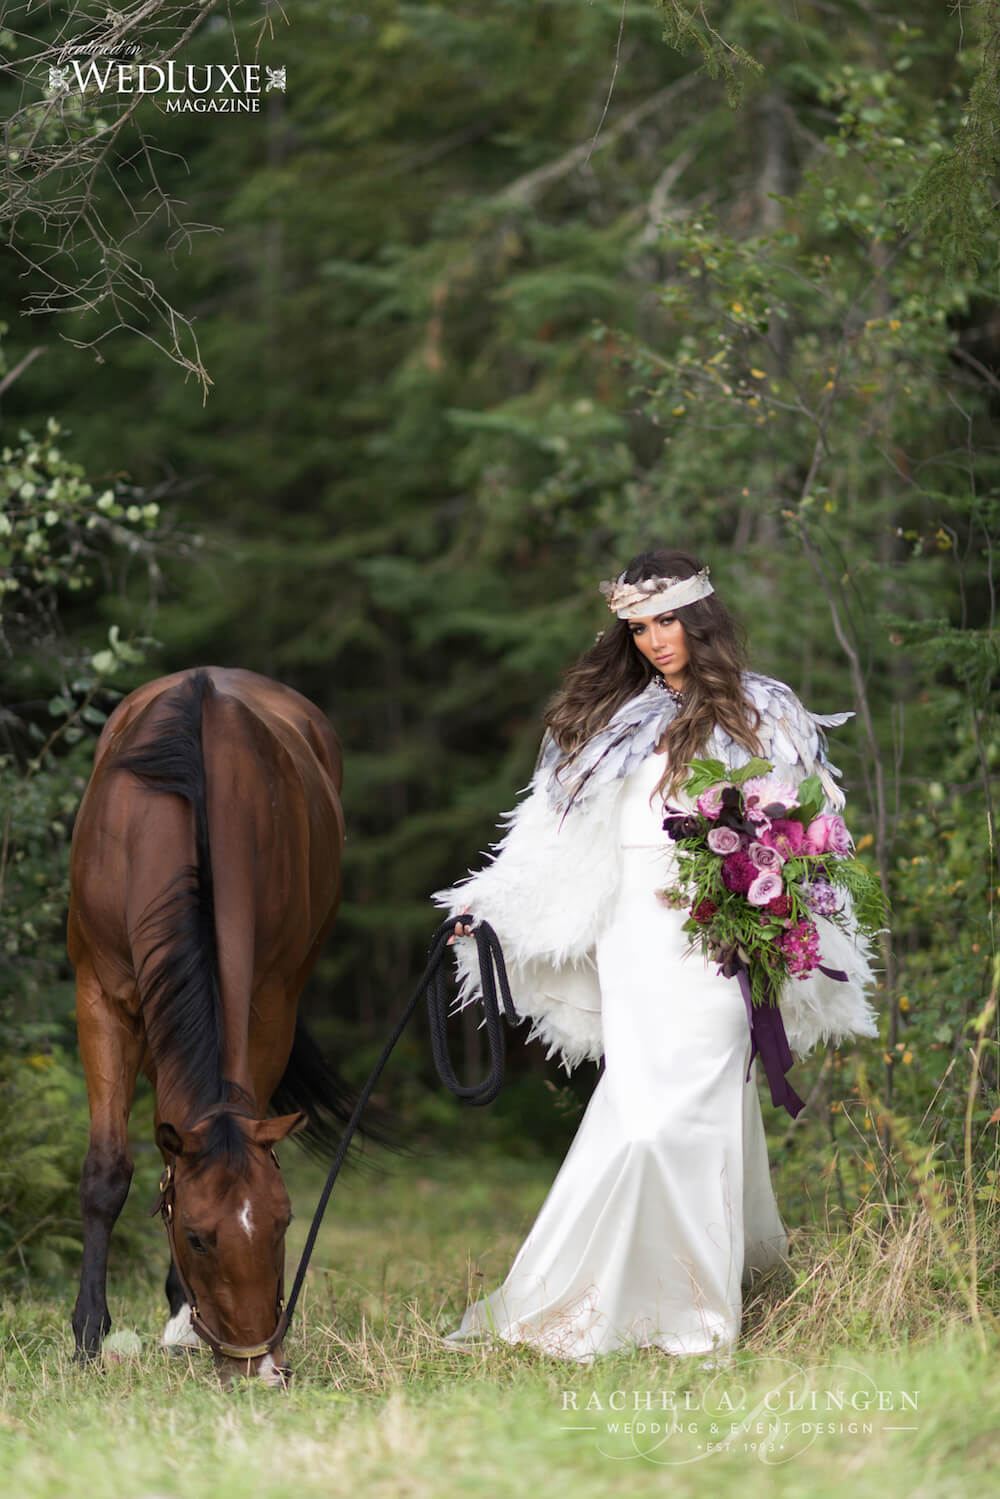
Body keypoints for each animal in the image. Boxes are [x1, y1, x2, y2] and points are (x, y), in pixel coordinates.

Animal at [67, 668, 389, 1379]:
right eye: (196, 1236)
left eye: (284, 1223)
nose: (257, 1366)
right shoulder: (100, 995)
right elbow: (106, 1172)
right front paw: (87, 1335)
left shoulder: (270, 1002)